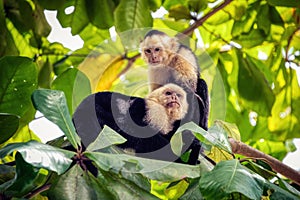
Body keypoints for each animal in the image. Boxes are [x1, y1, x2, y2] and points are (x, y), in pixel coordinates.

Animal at [140, 29, 209, 164]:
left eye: (157, 49)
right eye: (148, 51)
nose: (153, 57)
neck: (168, 60)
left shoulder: (183, 55)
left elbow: (188, 90)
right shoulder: (154, 69)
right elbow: (156, 91)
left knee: (201, 84)